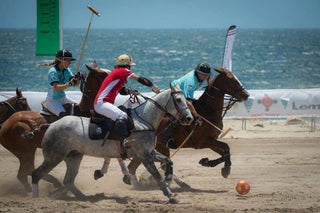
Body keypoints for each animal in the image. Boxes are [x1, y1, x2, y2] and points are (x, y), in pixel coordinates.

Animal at [31, 83, 192, 203]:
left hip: (73, 156)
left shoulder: (149, 152)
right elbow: (157, 175)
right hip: (54, 156)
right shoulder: (143, 154)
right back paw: (35, 198)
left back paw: (85, 198)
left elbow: (168, 161)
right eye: (178, 100)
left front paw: (169, 180)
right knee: (36, 174)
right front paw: (170, 195)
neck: (144, 120)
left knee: (68, 181)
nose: (189, 118)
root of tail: (50, 125)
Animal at [120, 67, 250, 188]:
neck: (208, 111)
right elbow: (226, 147)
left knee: (136, 167)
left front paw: (207, 162)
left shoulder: (211, 140)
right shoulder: (203, 141)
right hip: (157, 147)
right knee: (151, 165)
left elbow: (225, 152)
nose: (246, 95)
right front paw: (226, 169)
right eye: (232, 80)